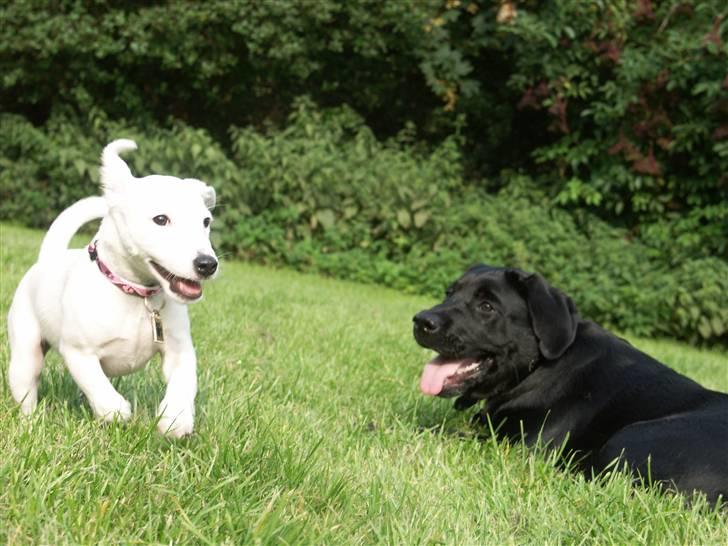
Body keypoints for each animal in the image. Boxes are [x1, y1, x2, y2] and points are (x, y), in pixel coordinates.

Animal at [7, 138, 218, 436]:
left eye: (206, 222)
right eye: (161, 219)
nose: (207, 264)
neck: (135, 293)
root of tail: (49, 258)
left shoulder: (180, 351)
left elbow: (183, 384)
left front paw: (176, 419)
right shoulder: (79, 352)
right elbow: (97, 385)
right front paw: (115, 411)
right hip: (26, 355)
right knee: (27, 389)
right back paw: (31, 423)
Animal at [416, 264, 728, 502]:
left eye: (486, 306)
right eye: (449, 293)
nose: (420, 321)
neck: (539, 367)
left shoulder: (521, 446)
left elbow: (445, 431)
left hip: (629, 440)